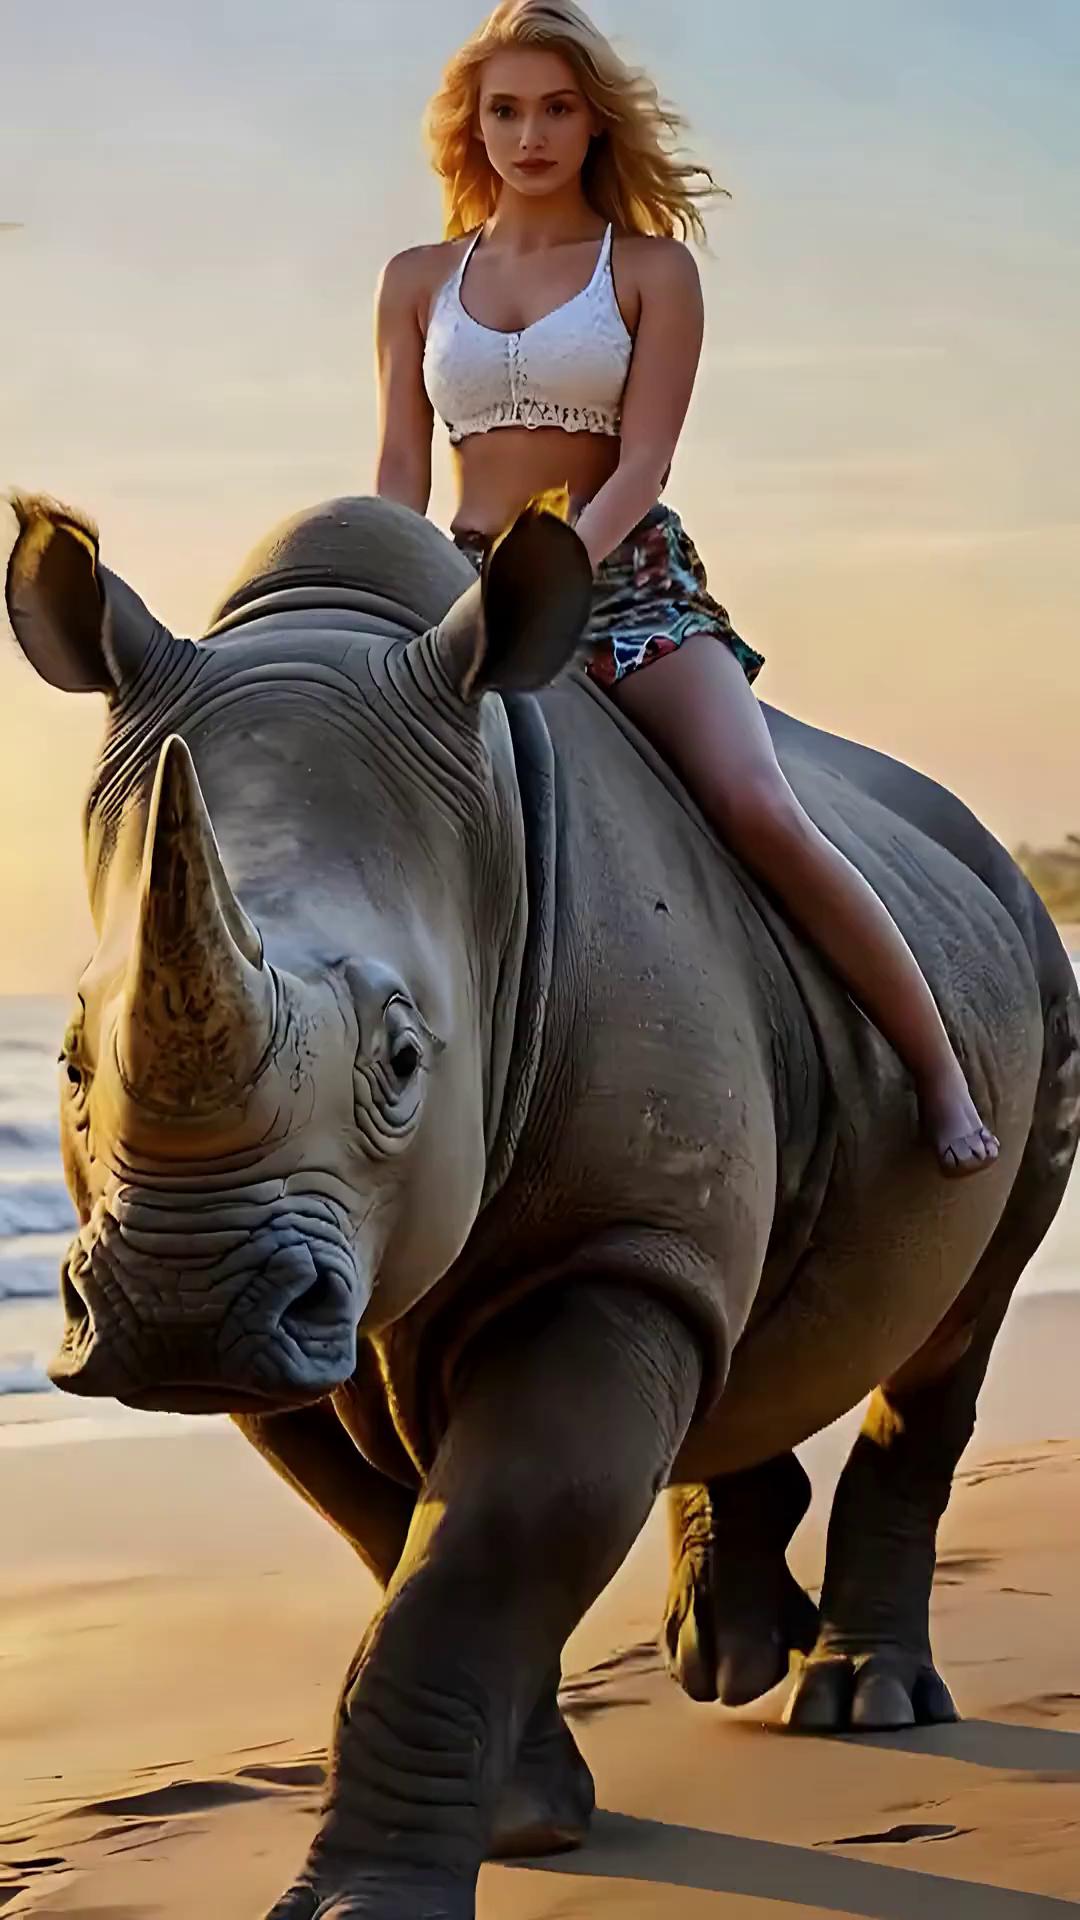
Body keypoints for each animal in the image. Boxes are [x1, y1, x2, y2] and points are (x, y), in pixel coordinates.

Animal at [6, 490, 1079, 1920]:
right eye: (71, 1058)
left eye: (407, 1059)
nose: (183, 1309)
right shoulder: (305, 1321)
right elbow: (400, 1543)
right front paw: (528, 1818)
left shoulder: (607, 1248)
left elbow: (482, 1554)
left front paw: (371, 1901)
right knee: (738, 1323)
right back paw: (731, 1655)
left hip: (1031, 965)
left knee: (960, 1318)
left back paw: (864, 1700)